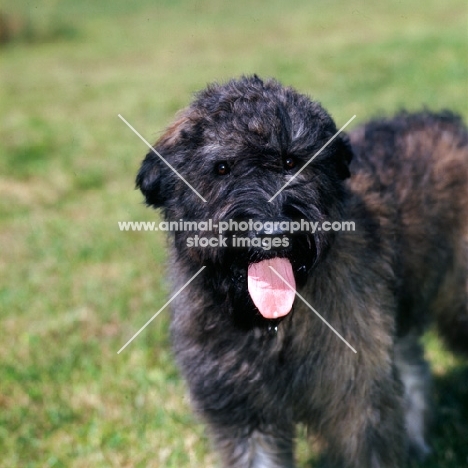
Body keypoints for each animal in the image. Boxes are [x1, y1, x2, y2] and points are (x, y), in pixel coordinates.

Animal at [135, 75, 468, 466]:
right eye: (222, 167)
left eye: (291, 161)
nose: (273, 232)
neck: (270, 325)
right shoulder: (244, 413)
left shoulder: (357, 403)